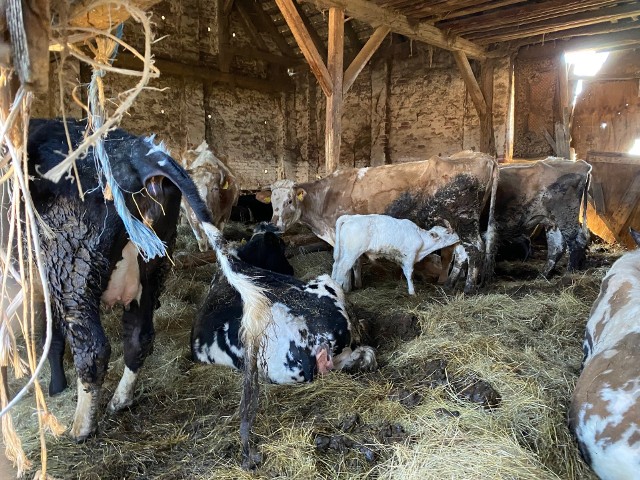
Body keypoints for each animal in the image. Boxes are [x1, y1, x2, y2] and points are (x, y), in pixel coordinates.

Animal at [23, 118, 270, 456]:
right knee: (139, 336)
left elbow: (47, 336)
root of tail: (138, 150)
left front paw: (55, 386)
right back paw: (119, 401)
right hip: (152, 266)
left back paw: (80, 427)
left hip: (71, 266)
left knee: (93, 349)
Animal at [330, 215, 460, 296]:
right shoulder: (409, 256)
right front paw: (412, 292)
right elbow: (409, 274)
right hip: (352, 252)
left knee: (336, 265)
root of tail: (351, 217)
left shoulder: (401, 258)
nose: (458, 236)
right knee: (342, 268)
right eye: (448, 232)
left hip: (344, 251)